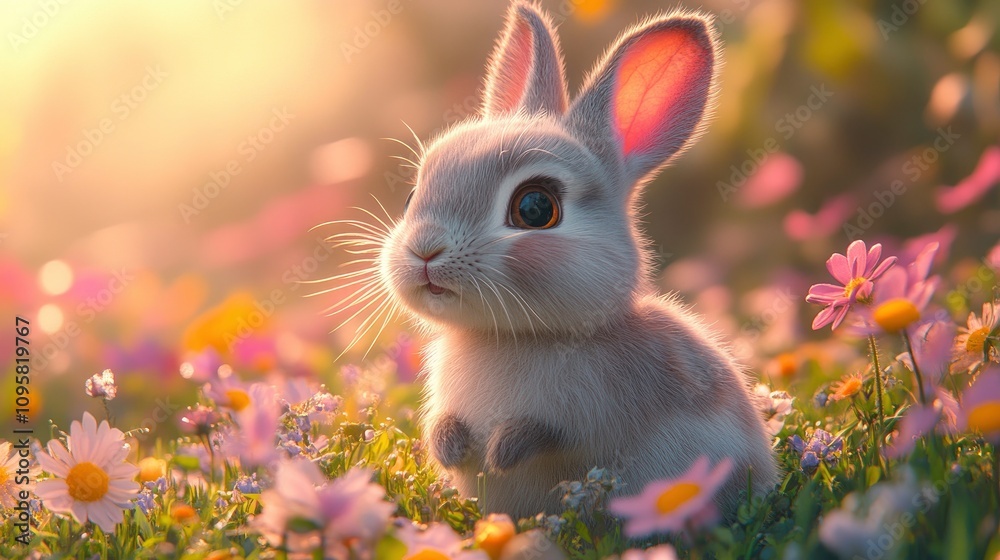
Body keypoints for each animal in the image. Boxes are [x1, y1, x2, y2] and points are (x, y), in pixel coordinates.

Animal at [356, 1, 779, 519]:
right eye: (412, 195)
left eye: (535, 208)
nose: (424, 249)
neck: (511, 337)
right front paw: (449, 445)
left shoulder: (590, 414)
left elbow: (552, 434)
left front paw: (502, 451)